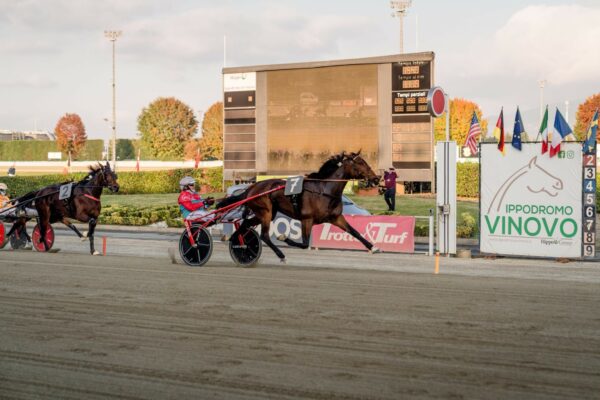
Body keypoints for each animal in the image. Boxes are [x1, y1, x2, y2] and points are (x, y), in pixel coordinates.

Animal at [217, 150, 380, 262]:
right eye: (360, 163)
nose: (376, 178)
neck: (324, 190)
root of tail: (251, 188)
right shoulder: (307, 219)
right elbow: (304, 243)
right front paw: (283, 237)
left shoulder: (336, 218)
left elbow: (355, 232)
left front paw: (374, 247)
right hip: (265, 212)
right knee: (264, 235)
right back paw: (281, 255)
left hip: (265, 213)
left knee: (245, 224)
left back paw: (238, 243)